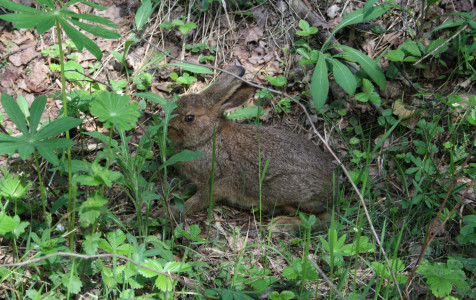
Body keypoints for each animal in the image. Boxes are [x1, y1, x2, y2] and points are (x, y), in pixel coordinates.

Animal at [165, 65, 336, 225]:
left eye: (189, 118)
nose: (168, 130)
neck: (207, 137)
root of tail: (333, 186)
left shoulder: (217, 183)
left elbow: (196, 201)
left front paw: (167, 212)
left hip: (283, 193)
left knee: (323, 219)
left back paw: (281, 225)